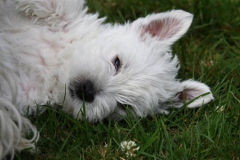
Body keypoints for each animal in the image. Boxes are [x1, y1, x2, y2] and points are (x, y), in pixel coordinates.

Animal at [0, 0, 214, 159]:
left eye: (123, 106)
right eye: (117, 62)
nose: (87, 90)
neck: (58, 66)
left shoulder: (24, 93)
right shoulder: (66, 16)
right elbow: (53, 6)